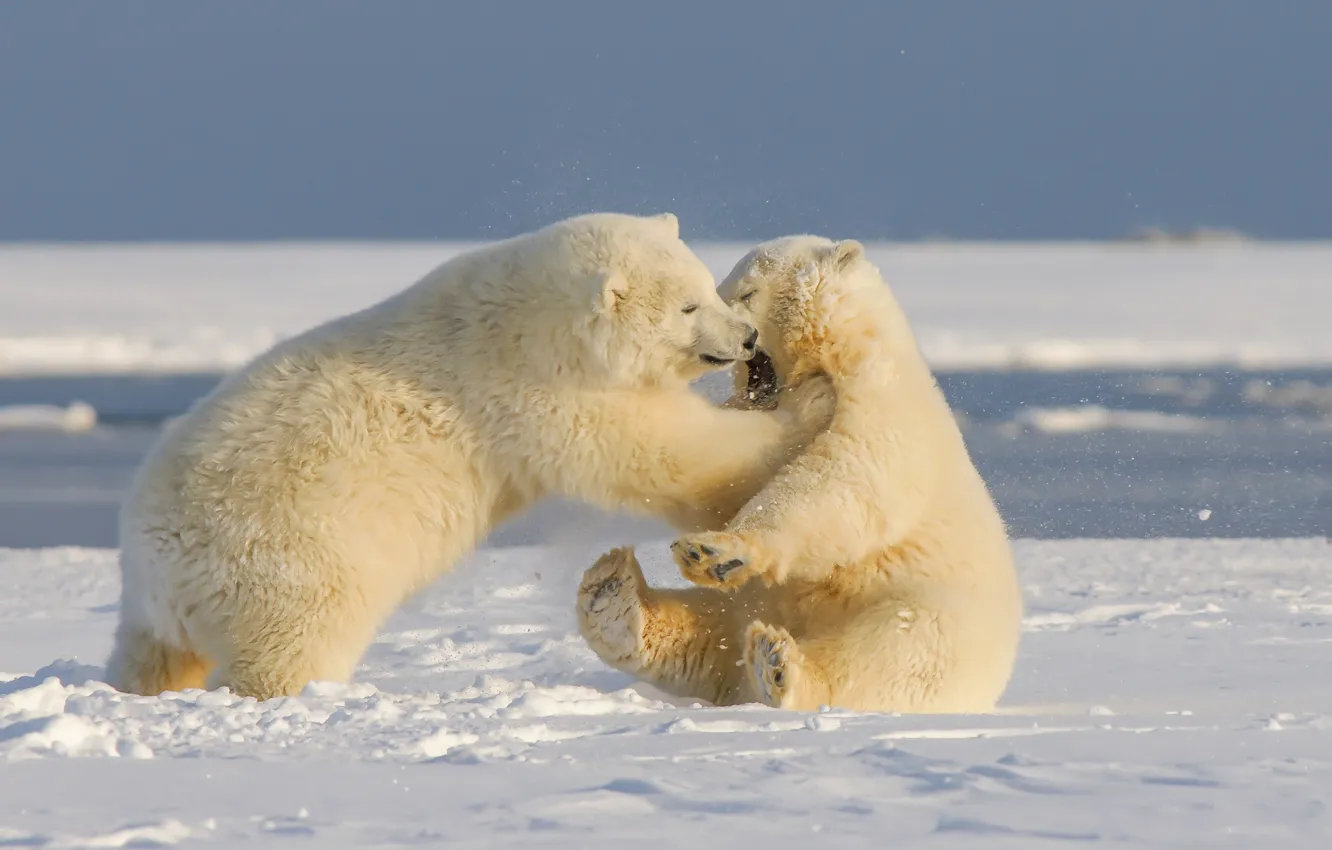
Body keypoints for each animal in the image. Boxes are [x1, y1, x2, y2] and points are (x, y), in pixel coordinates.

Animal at [106, 213, 834, 701]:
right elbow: (667, 451)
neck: (527, 320)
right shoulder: (536, 391)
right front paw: (814, 402)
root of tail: (155, 561)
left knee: (152, 655)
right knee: (293, 646)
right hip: (291, 560)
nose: (746, 337)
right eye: (687, 306)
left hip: (166, 608)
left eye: (711, 286)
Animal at [576, 235, 1023, 713]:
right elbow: (726, 475)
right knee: (710, 632)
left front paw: (716, 550)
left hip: (926, 613)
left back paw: (777, 666)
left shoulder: (884, 407)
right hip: (752, 604)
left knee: (889, 654)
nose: (736, 337)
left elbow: (842, 479)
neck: (843, 354)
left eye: (746, 292)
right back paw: (614, 597)